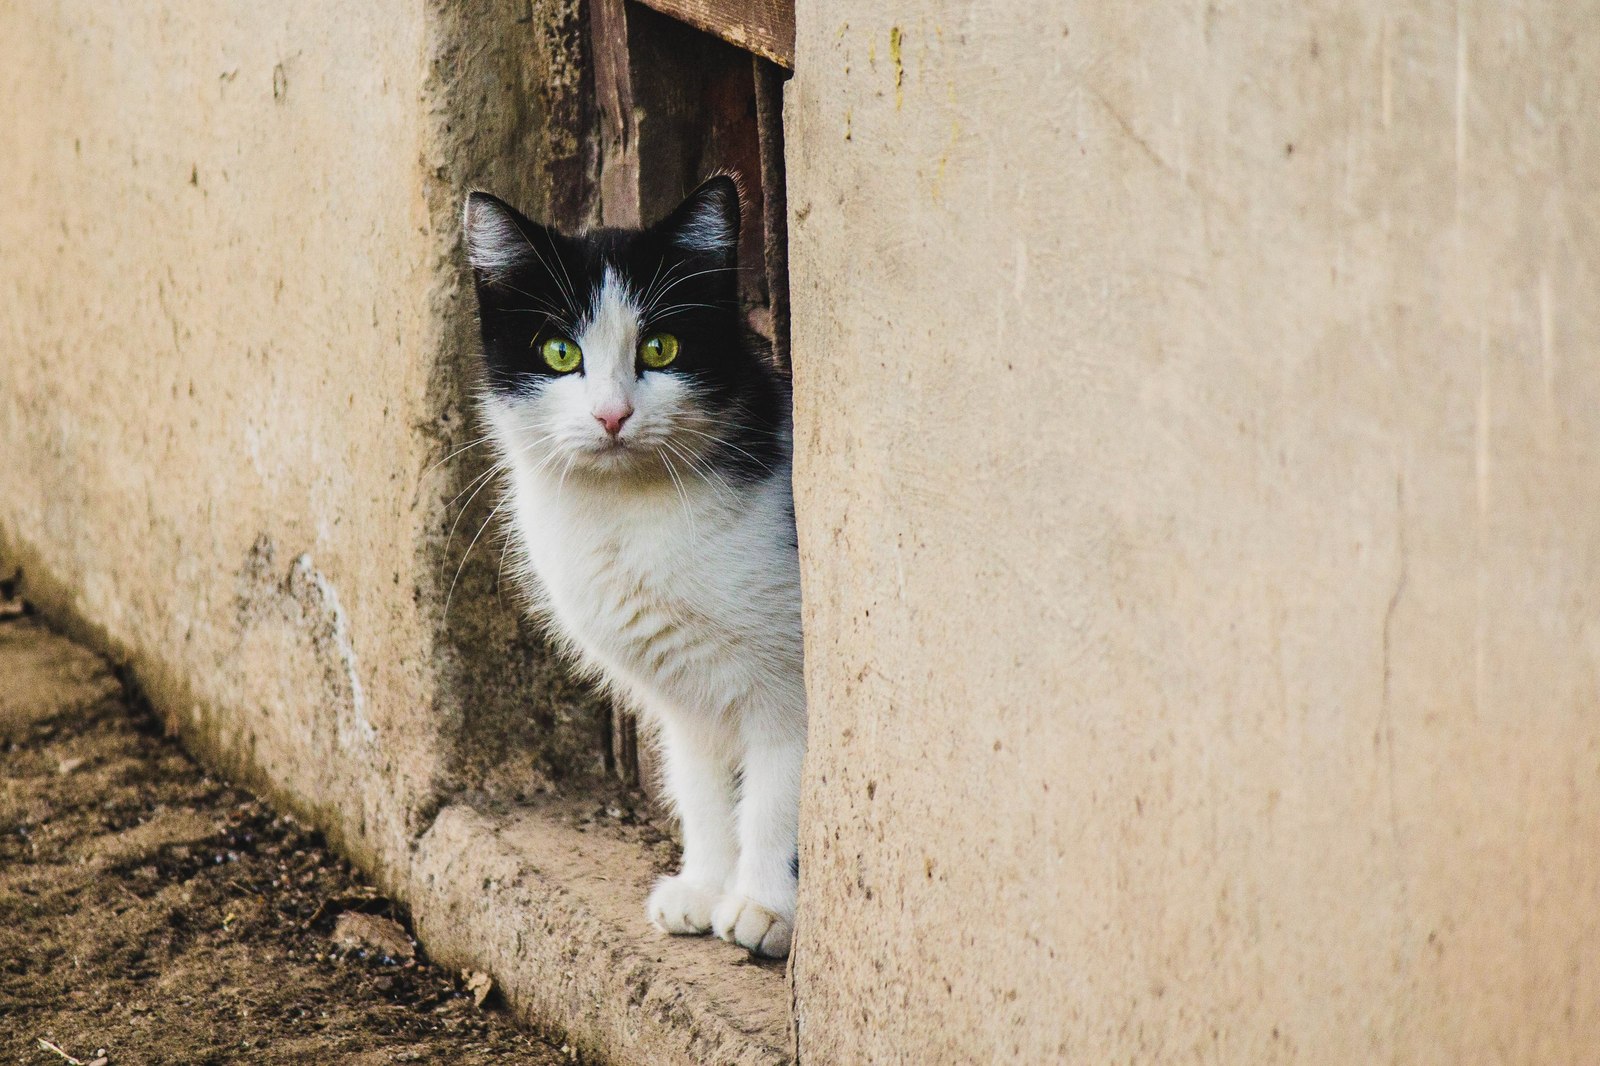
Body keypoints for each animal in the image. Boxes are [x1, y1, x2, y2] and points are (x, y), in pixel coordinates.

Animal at [467, 174, 812, 953]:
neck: (627, 514)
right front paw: (706, 887)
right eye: (559, 353)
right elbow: (702, 786)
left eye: (661, 345)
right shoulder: (686, 687)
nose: (612, 415)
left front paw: (764, 905)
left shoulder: (791, 684)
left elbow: (777, 794)